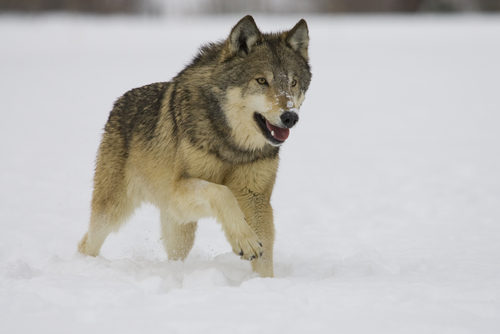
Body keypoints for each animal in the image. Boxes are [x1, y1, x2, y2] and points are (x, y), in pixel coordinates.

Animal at [77, 15, 310, 276]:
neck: (232, 146)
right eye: (261, 80)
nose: (290, 116)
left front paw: (264, 282)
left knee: (174, 255)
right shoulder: (178, 191)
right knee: (86, 242)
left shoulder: (255, 197)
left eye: (293, 83)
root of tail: (119, 101)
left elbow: (265, 254)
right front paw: (245, 241)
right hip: (113, 211)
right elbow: (222, 192)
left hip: (180, 229)